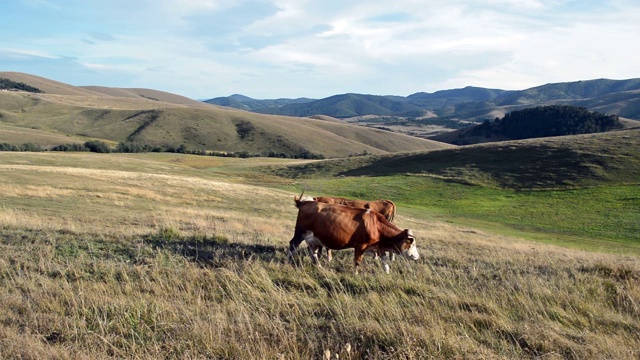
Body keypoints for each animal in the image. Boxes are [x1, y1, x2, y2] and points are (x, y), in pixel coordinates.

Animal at [286, 195, 418, 274]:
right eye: (411, 244)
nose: (417, 257)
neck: (375, 224)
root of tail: (305, 202)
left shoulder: (378, 246)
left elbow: (384, 259)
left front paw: (386, 272)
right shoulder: (360, 246)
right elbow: (357, 261)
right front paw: (355, 274)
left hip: (313, 238)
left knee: (312, 252)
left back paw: (319, 266)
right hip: (300, 233)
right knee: (293, 245)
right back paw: (288, 262)